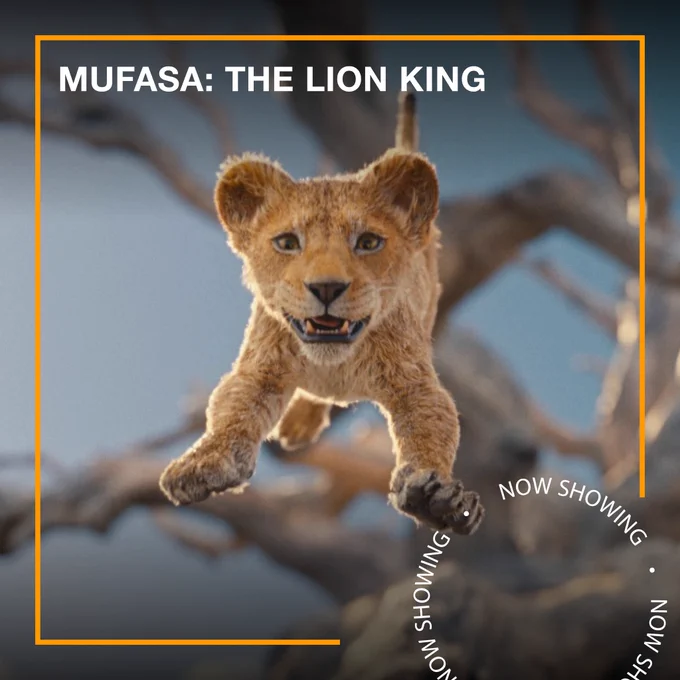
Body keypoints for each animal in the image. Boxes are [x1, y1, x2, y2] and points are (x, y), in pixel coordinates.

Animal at [159, 93, 484, 534]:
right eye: (286, 242)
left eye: (368, 242)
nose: (326, 288)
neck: (333, 363)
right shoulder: (259, 370)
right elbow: (231, 412)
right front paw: (201, 463)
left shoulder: (414, 383)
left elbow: (432, 427)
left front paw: (435, 498)